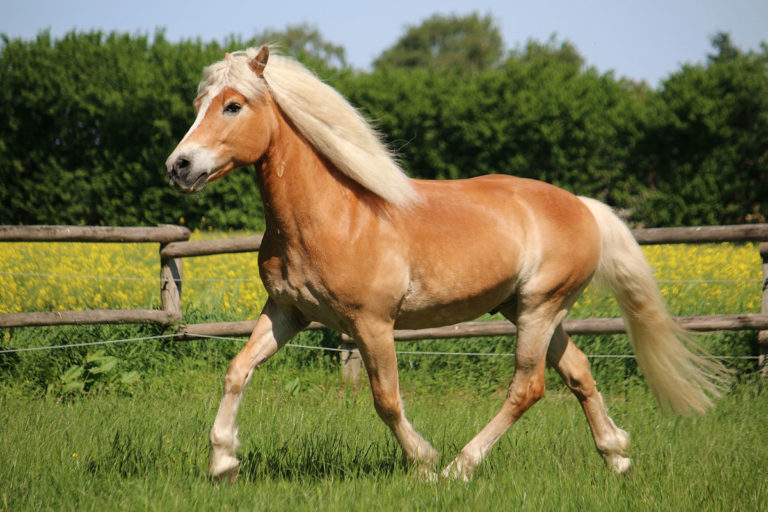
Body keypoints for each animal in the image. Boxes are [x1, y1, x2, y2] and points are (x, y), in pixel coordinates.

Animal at [166, 46, 729, 482]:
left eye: (233, 105)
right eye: (198, 104)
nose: (179, 166)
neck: (333, 216)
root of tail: (582, 206)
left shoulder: (372, 324)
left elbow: (386, 399)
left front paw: (423, 462)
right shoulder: (288, 313)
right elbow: (237, 371)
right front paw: (223, 462)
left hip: (539, 309)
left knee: (527, 388)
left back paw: (461, 466)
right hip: (528, 310)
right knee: (579, 373)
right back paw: (616, 457)